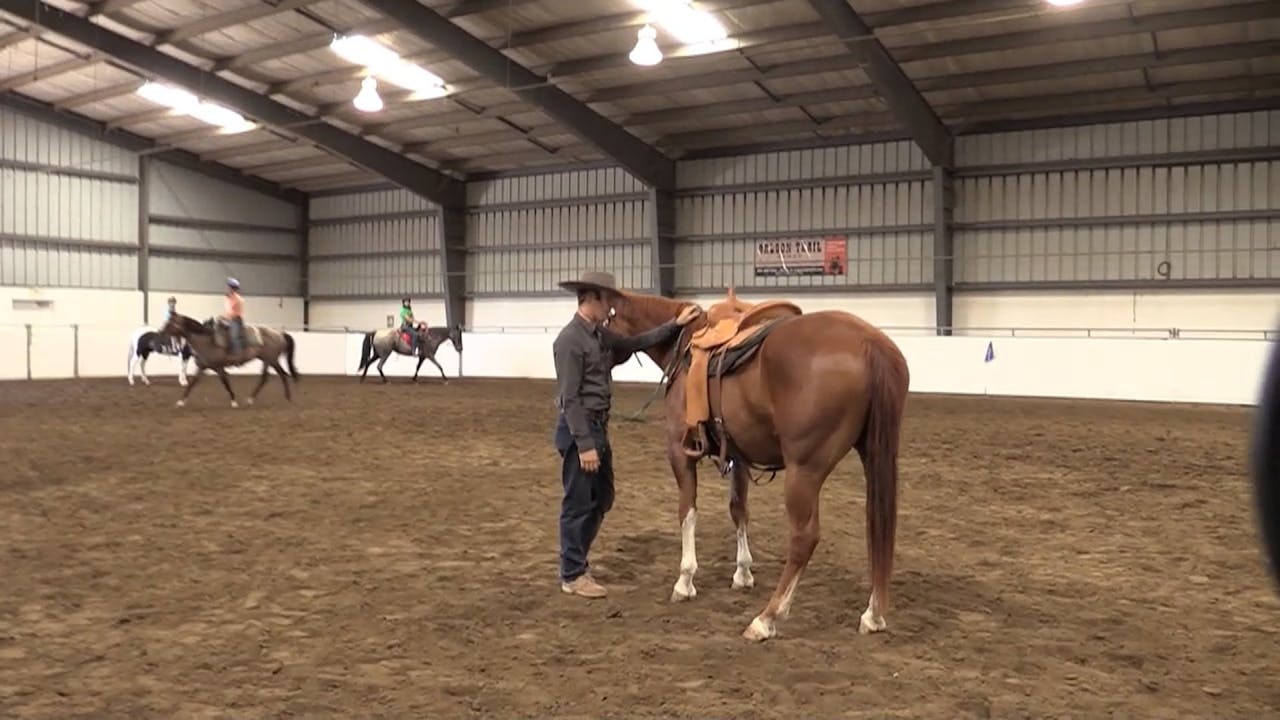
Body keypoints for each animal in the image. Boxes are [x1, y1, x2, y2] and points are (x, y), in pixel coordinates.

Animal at [160, 312, 300, 409]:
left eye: (170, 323)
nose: (160, 333)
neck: (207, 341)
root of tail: (279, 334)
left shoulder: (219, 367)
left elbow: (225, 382)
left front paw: (234, 402)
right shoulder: (203, 367)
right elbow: (192, 383)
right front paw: (180, 402)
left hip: (272, 359)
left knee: (282, 374)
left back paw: (288, 397)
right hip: (266, 360)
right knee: (265, 377)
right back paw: (250, 399)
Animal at [604, 289, 910, 642]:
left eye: (605, 321)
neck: (684, 345)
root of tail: (870, 343)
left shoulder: (680, 452)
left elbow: (687, 512)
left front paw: (685, 581)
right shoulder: (738, 455)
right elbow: (739, 510)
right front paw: (743, 573)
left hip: (804, 470)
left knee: (804, 538)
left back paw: (766, 618)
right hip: (875, 454)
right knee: (879, 528)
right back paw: (873, 615)